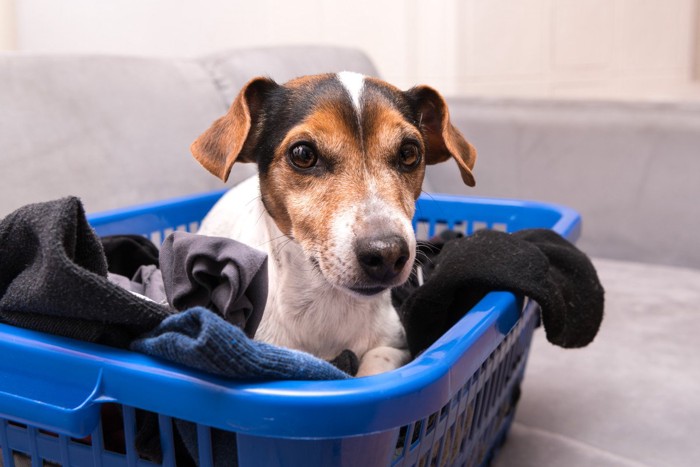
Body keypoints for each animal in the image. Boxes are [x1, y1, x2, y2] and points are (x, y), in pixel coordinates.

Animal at [190, 71, 476, 376]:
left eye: (409, 153)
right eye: (303, 154)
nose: (387, 254)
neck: (326, 301)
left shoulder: (395, 344)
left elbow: (377, 361)